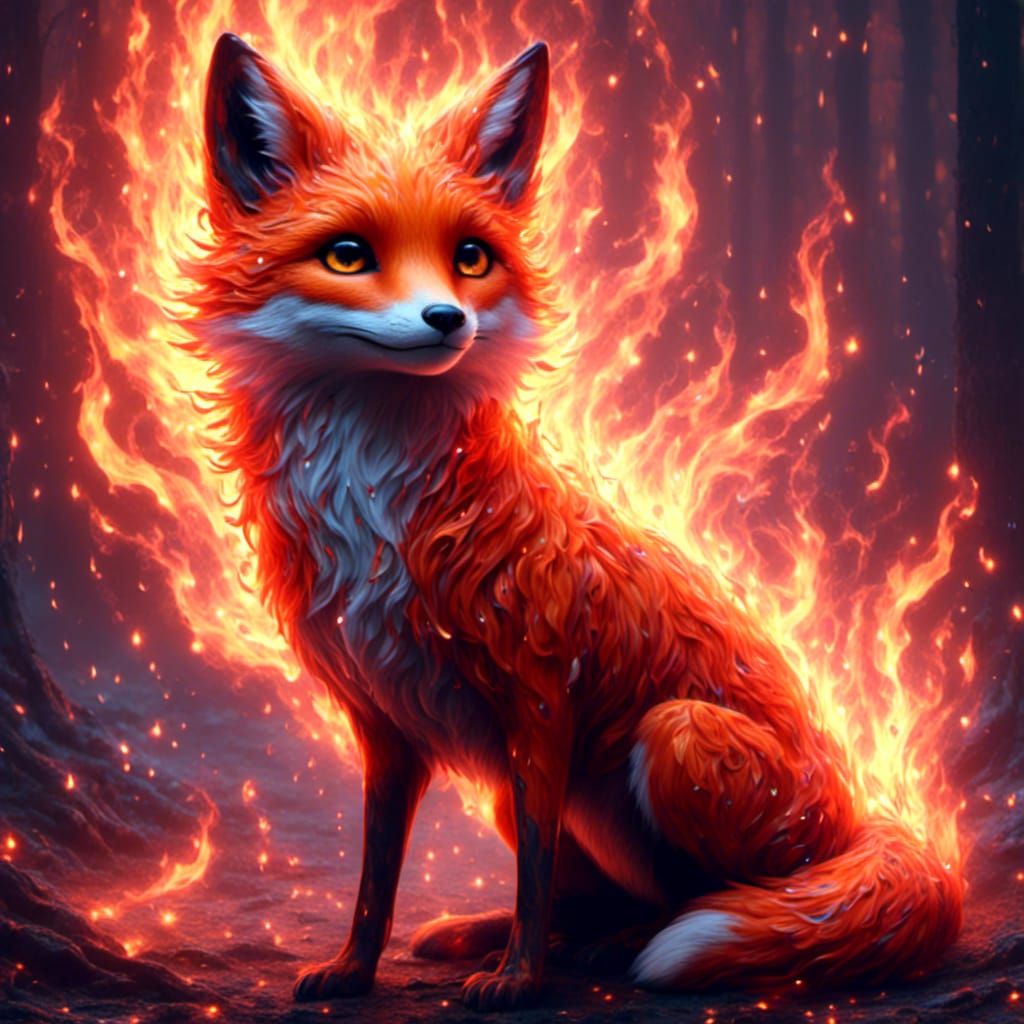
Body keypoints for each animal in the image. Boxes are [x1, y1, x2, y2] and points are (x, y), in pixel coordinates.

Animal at [185, 33, 963, 1011]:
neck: (378, 502)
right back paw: (508, 938)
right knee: (610, 901)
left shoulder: (541, 701)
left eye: (471, 257)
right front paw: (356, 971)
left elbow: (534, 872)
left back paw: (622, 949)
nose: (448, 319)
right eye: (348, 254)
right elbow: (376, 876)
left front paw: (519, 982)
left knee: (716, 904)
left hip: (677, 739)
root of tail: (863, 817)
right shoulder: (386, 723)